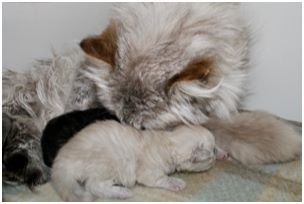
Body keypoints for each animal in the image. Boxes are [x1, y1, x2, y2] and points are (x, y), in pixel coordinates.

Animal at [50, 120, 216, 202]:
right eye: (213, 151)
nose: (217, 154)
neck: (167, 142)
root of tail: (60, 159)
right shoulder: (148, 173)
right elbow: (163, 179)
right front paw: (176, 183)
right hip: (109, 163)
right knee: (93, 186)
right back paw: (122, 192)